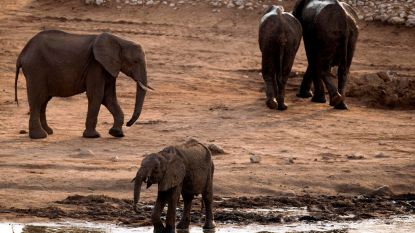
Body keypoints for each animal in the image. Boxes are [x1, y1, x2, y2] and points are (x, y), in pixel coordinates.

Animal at [15, 29, 154, 138]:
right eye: (135, 62)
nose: (128, 124)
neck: (119, 40)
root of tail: (22, 54)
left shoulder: (109, 67)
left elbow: (108, 97)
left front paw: (117, 133)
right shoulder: (96, 65)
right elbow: (97, 95)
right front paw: (93, 136)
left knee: (44, 101)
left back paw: (49, 132)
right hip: (35, 69)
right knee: (37, 99)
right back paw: (39, 136)